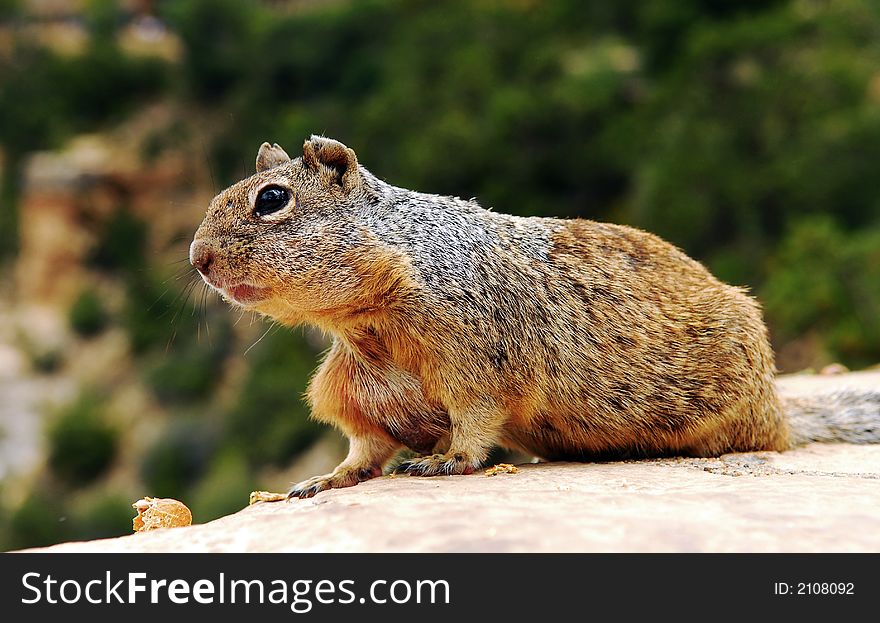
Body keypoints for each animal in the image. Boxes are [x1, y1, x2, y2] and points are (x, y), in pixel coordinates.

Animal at [191, 134, 880, 500]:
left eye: (271, 199)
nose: (198, 259)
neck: (368, 324)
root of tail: (779, 407)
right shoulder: (358, 384)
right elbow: (365, 447)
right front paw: (322, 479)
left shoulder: (471, 360)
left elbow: (473, 424)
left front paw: (444, 461)